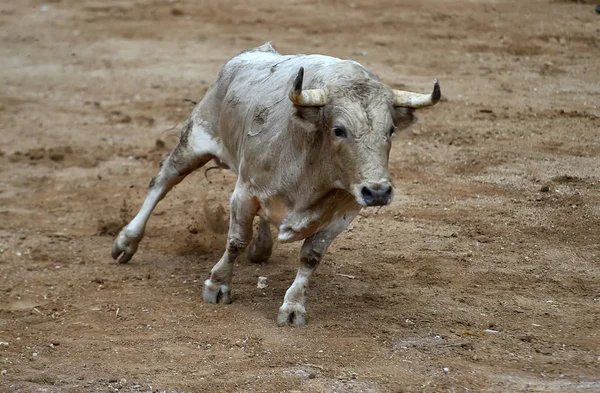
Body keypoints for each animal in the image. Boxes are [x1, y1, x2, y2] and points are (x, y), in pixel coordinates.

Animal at [111, 42, 440, 324]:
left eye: (391, 129)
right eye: (338, 129)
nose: (378, 192)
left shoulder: (344, 212)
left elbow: (311, 257)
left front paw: (293, 306)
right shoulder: (245, 191)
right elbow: (235, 240)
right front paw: (218, 285)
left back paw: (262, 247)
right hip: (195, 138)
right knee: (162, 181)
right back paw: (127, 241)